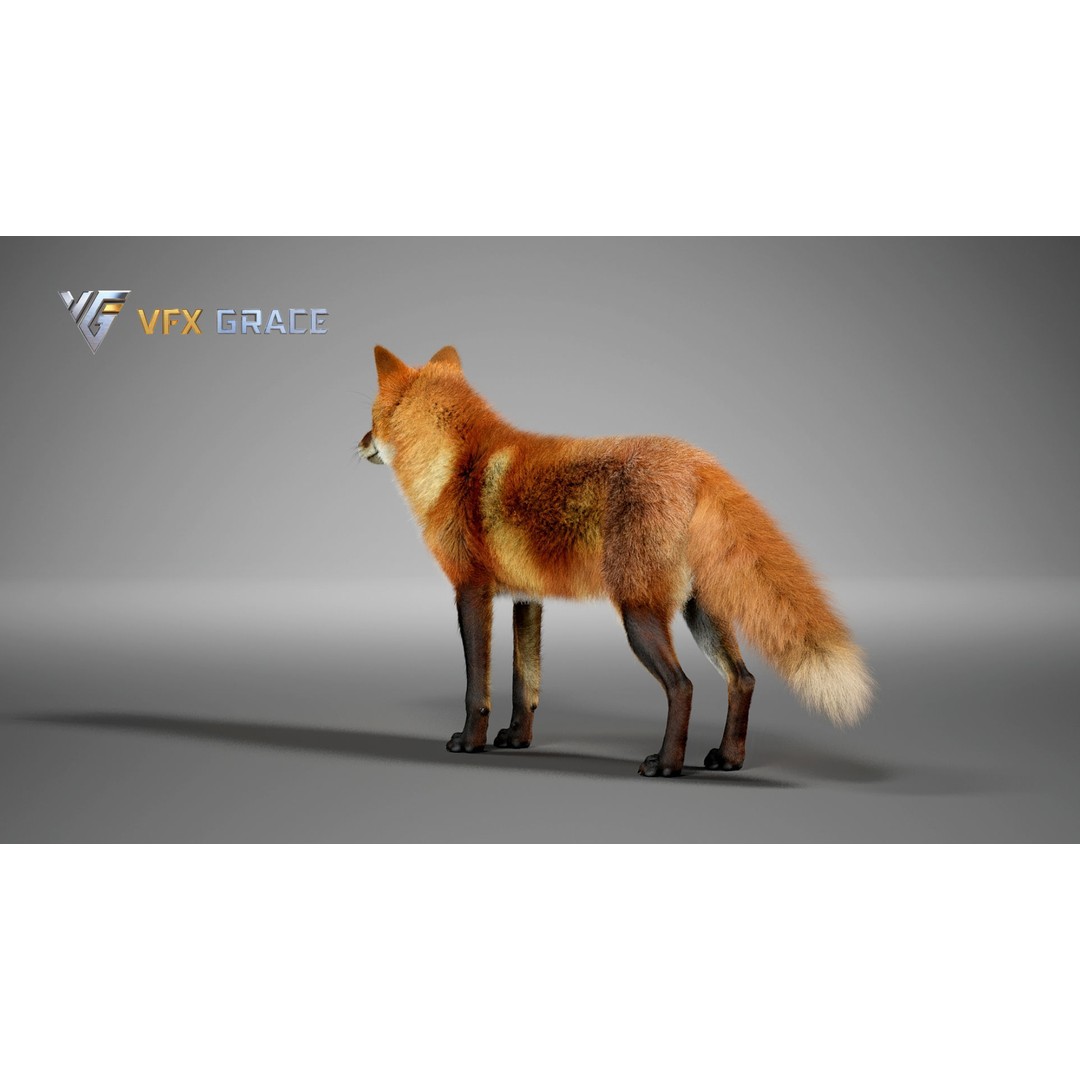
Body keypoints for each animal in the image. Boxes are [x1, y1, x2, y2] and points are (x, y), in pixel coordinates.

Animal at [358, 344, 874, 777]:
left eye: (371, 416)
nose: (359, 443)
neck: (452, 467)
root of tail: (697, 461)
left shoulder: (471, 592)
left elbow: (476, 688)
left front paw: (470, 742)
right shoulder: (528, 599)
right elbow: (526, 683)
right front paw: (517, 739)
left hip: (638, 615)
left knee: (683, 686)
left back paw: (666, 764)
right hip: (701, 614)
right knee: (742, 679)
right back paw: (728, 759)